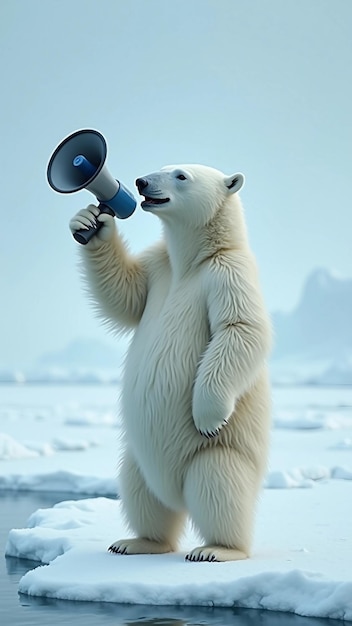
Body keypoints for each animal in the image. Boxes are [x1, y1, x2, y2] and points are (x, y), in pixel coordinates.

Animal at [69, 162, 272, 560]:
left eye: (181, 175)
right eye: (161, 168)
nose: (141, 182)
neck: (193, 263)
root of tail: (176, 495)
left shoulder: (228, 272)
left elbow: (239, 328)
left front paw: (208, 414)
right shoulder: (158, 268)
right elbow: (125, 294)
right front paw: (89, 223)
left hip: (213, 453)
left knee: (217, 483)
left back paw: (217, 549)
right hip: (139, 457)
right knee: (139, 490)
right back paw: (135, 542)